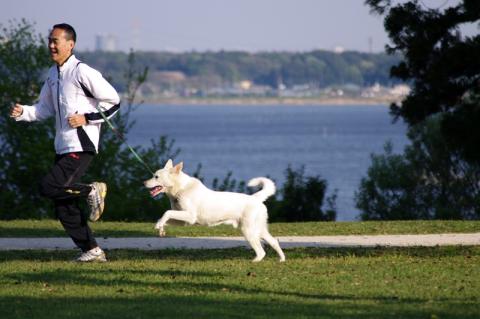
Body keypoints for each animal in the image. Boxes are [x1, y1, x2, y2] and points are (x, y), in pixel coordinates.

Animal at [142, 160, 284, 262]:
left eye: (156, 177)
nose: (143, 182)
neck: (181, 189)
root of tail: (255, 198)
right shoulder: (184, 221)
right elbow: (164, 216)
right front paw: (160, 227)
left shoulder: (190, 216)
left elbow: (167, 212)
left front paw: (159, 225)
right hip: (259, 230)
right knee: (274, 242)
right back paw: (281, 260)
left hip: (249, 231)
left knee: (261, 252)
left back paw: (254, 262)